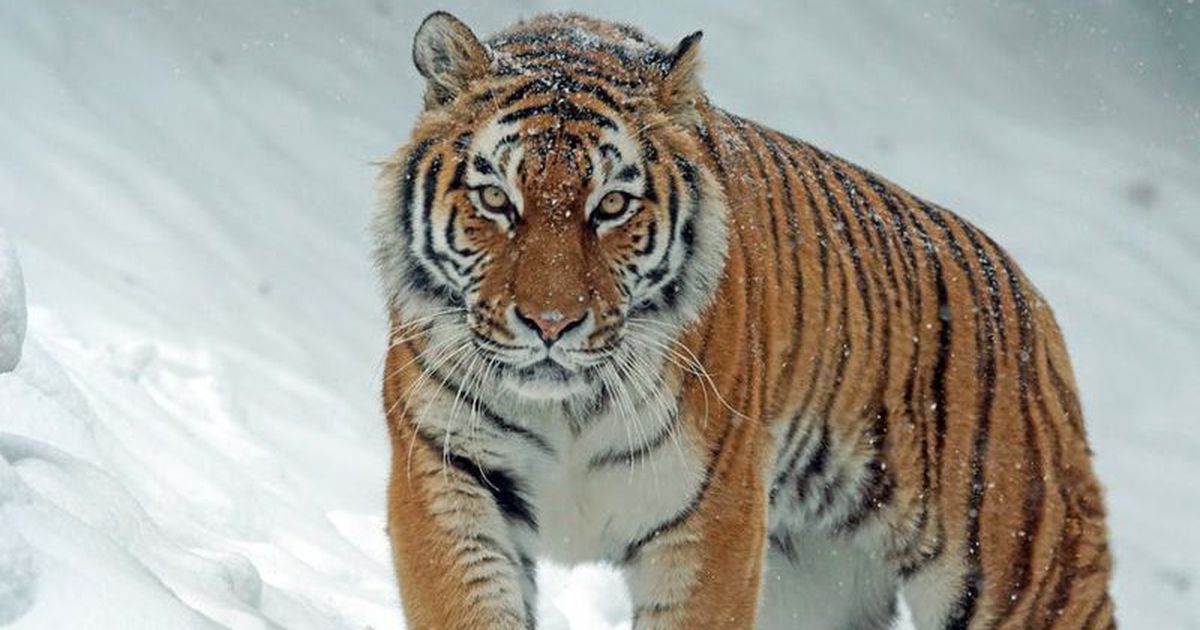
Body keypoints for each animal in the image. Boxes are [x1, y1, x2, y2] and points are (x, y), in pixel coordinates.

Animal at [372, 11, 1114, 630]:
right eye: (497, 199)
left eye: (611, 206)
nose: (551, 324)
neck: (568, 411)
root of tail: (1030, 300)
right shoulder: (447, 475)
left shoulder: (713, 519)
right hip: (817, 587)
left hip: (1026, 575)